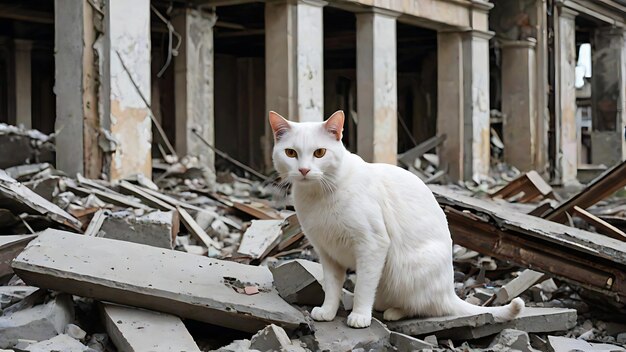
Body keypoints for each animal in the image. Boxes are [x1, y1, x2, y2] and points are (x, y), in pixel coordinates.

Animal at [268, 110, 520, 328]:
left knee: (427, 307)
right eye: (291, 153)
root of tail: (450, 291)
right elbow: (331, 286)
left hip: (406, 270)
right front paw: (328, 311)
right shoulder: (327, 253)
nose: (303, 170)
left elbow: (363, 287)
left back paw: (393, 312)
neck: (318, 195)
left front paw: (359, 316)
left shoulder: (372, 245)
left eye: (319, 153)